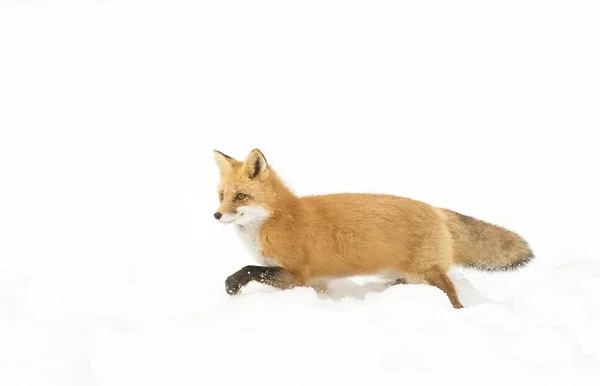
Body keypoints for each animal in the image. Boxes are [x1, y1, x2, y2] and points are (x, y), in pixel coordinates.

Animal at [213, 148, 532, 308]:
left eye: (240, 197)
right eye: (222, 195)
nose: (216, 215)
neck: (277, 218)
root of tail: (434, 209)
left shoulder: (297, 274)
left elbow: (248, 270)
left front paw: (231, 286)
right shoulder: (315, 281)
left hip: (425, 273)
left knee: (451, 293)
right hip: (408, 275)